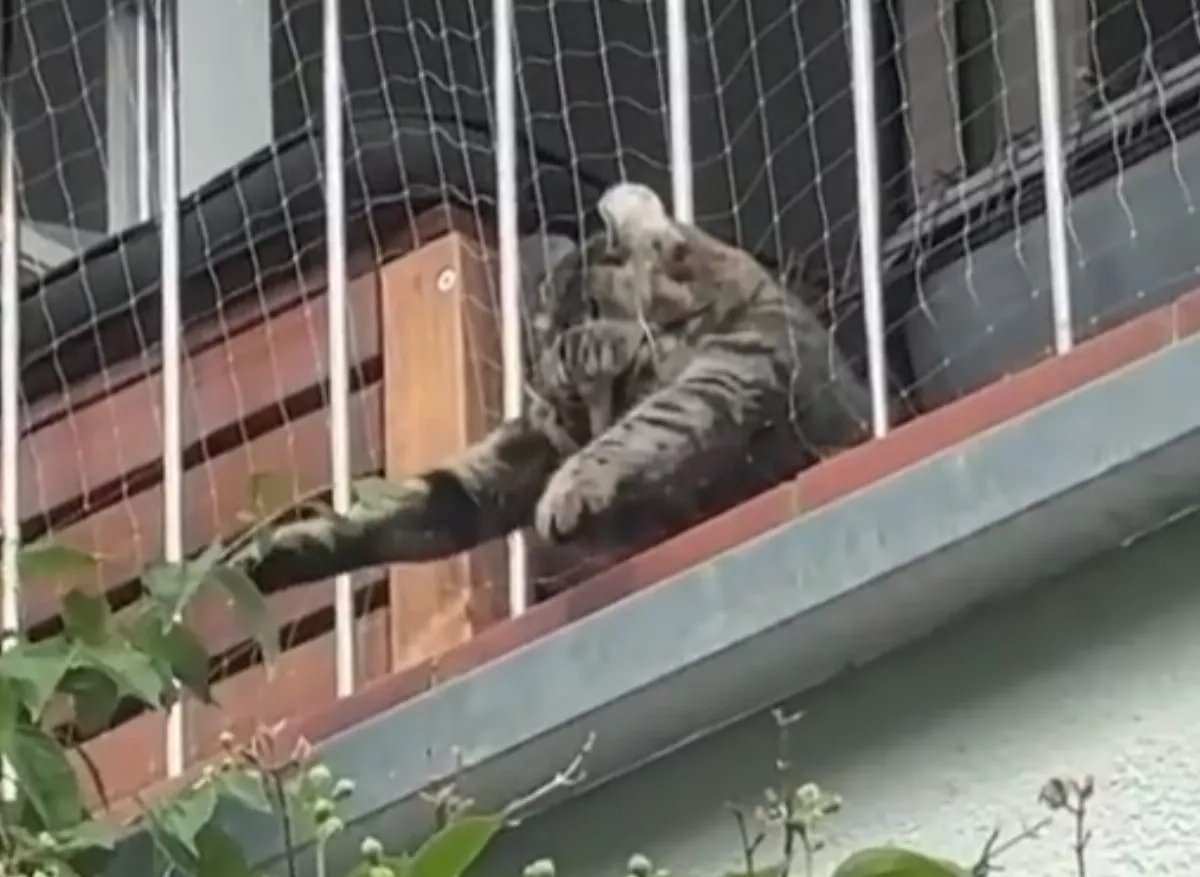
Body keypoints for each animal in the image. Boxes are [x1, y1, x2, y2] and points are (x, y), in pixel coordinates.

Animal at [226, 182, 874, 598]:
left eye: (589, 310)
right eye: (572, 405)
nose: (564, 372)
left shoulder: (730, 372)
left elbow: (641, 430)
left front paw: (568, 493)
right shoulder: (517, 454)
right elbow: (402, 505)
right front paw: (275, 551)